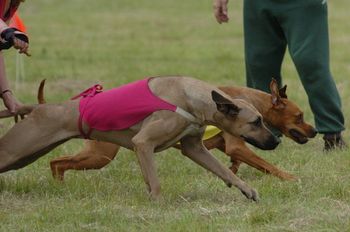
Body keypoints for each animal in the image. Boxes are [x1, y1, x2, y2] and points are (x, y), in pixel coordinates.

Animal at [50, 80, 318, 181]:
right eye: (300, 116)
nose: (315, 131)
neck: (254, 100)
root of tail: (87, 102)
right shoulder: (237, 145)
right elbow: (267, 164)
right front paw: (289, 177)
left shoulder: (225, 146)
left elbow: (234, 163)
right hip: (100, 155)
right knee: (57, 162)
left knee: (57, 162)